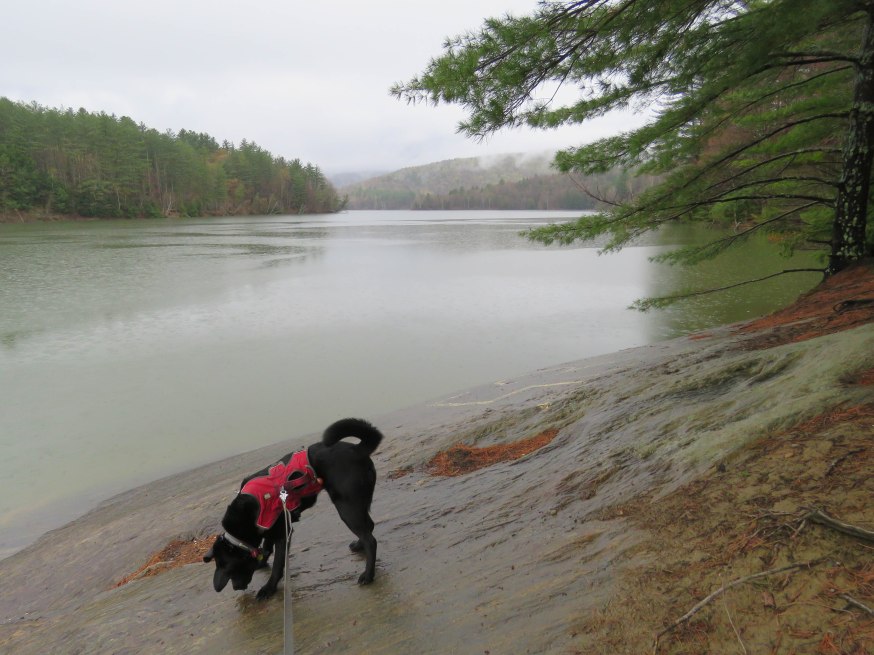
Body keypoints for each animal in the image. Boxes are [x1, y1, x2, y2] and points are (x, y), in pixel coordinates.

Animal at [203, 417, 383, 599]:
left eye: (229, 568)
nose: (233, 588)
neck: (251, 510)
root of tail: (356, 449)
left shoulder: (283, 535)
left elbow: (277, 565)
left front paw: (268, 588)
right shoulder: (270, 528)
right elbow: (267, 547)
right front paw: (262, 562)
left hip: (346, 507)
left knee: (370, 539)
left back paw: (368, 575)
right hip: (357, 504)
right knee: (368, 527)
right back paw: (359, 545)